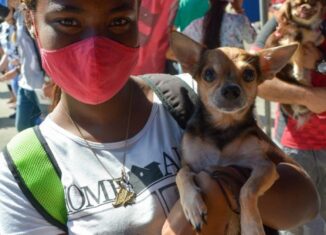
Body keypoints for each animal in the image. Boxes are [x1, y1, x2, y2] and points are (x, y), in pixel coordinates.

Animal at [172, 31, 306, 235]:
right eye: (208, 74)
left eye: (249, 74)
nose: (231, 89)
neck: (222, 128)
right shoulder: (190, 164)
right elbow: (181, 174)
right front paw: (192, 205)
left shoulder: (265, 166)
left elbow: (247, 190)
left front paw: (251, 225)